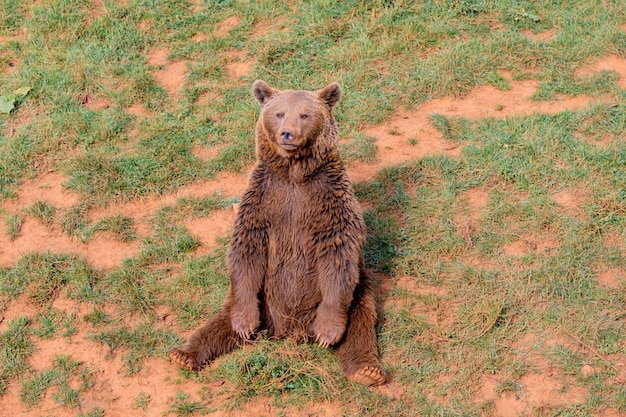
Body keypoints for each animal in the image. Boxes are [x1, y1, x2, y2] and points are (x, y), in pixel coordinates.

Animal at [171, 79, 386, 386]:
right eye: (279, 113)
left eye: (305, 114)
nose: (287, 134)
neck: (294, 174)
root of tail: (290, 330)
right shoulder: (264, 199)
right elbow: (246, 247)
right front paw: (243, 324)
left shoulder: (330, 200)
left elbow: (338, 252)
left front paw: (328, 333)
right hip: (259, 298)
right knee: (223, 320)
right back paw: (186, 353)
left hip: (358, 290)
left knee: (360, 321)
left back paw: (366, 370)